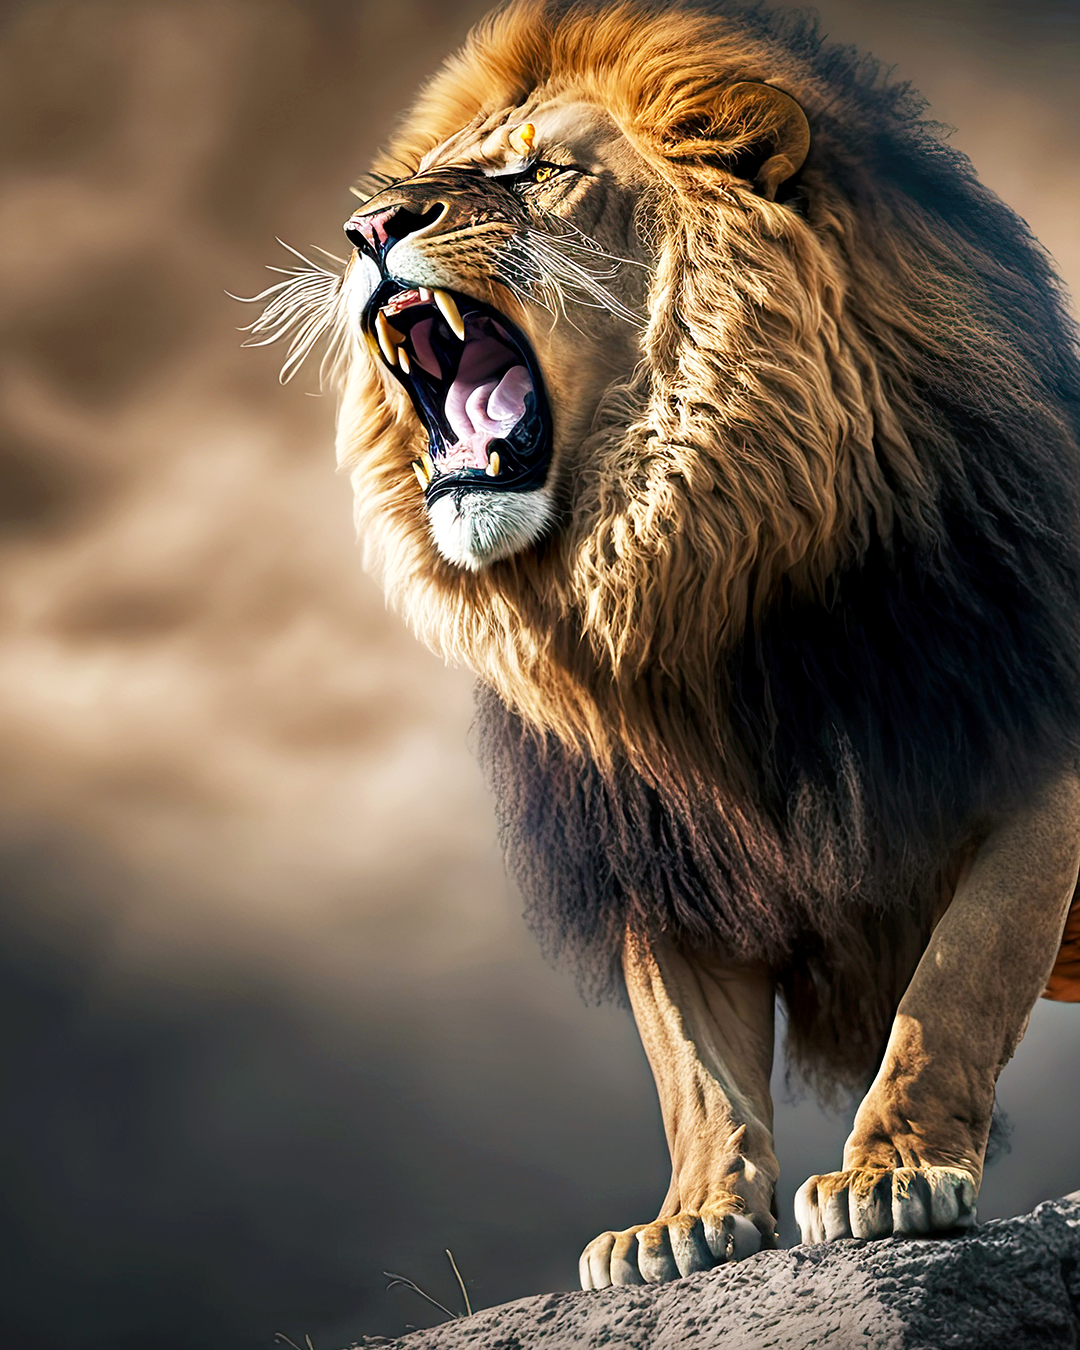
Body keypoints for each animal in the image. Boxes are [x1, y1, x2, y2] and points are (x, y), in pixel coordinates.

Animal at [253, 0, 1080, 1287]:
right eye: (409, 188)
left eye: (537, 174)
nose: (370, 228)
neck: (690, 581)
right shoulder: (655, 838)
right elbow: (693, 1059)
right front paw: (686, 1221)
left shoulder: (1029, 740)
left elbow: (960, 977)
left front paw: (893, 1173)